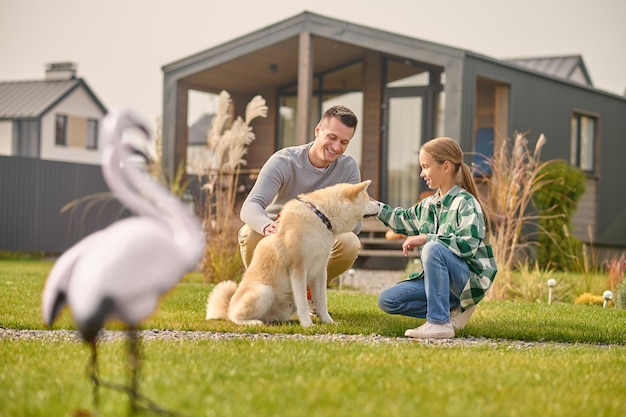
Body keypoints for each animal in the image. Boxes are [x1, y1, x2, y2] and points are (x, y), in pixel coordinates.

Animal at [205, 180, 370, 326]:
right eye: (369, 199)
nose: (377, 202)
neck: (320, 216)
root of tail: (228, 307)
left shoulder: (320, 271)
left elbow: (322, 302)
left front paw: (328, 322)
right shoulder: (298, 269)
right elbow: (302, 302)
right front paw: (308, 325)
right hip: (264, 290)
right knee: (234, 317)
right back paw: (252, 322)